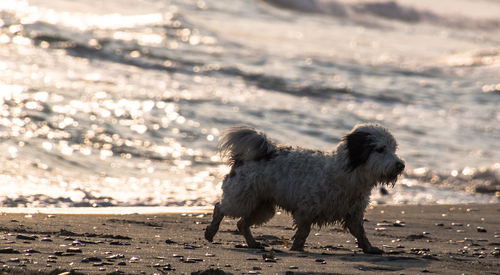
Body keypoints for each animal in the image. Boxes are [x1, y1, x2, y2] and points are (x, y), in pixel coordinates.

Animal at [205, 123, 404, 254]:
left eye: (394, 149)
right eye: (380, 149)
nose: (400, 165)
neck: (346, 174)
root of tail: (246, 157)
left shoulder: (353, 213)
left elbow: (361, 233)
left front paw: (369, 248)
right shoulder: (306, 210)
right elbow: (303, 231)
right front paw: (297, 248)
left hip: (263, 206)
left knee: (242, 223)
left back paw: (253, 243)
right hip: (242, 198)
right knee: (220, 208)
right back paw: (211, 231)